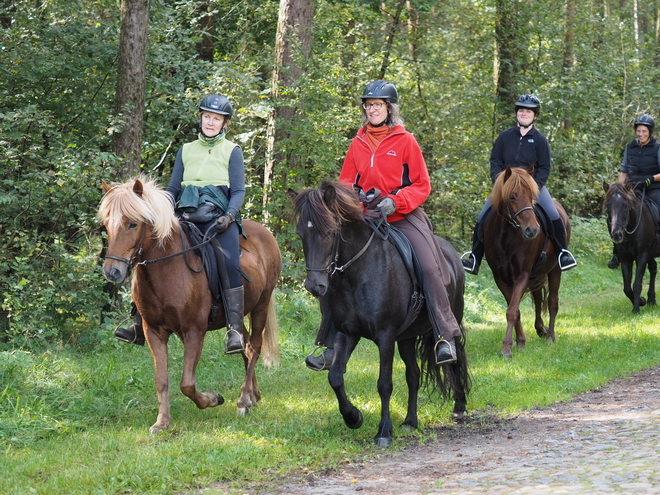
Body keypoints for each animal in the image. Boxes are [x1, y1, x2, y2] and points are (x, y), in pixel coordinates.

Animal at [98, 177, 282, 434]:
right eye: (106, 224)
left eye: (132, 224)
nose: (112, 272)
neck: (167, 269)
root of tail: (265, 233)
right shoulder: (153, 331)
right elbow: (161, 379)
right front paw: (162, 421)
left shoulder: (194, 331)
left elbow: (187, 383)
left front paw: (213, 399)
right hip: (236, 317)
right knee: (243, 345)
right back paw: (253, 395)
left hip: (261, 305)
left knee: (254, 346)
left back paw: (244, 400)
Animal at [288, 182, 470, 450]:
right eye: (301, 233)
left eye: (330, 232)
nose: (315, 286)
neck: (358, 273)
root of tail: (452, 254)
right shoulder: (346, 333)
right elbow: (335, 377)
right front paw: (353, 417)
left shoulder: (385, 336)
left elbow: (384, 384)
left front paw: (383, 431)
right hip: (406, 338)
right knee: (413, 375)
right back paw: (410, 421)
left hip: (452, 320)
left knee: (455, 360)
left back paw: (459, 407)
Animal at [482, 169, 568, 358]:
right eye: (512, 196)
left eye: (531, 195)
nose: (532, 230)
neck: (506, 235)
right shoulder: (501, 278)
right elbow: (516, 310)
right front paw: (520, 342)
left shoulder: (522, 275)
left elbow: (512, 311)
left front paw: (507, 348)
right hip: (537, 274)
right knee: (538, 299)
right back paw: (540, 329)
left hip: (555, 270)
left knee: (552, 301)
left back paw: (550, 336)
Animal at [604, 182, 660, 314]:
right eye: (608, 205)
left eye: (625, 205)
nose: (617, 234)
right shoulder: (625, 259)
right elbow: (627, 287)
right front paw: (641, 301)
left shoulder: (642, 256)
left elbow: (637, 284)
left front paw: (636, 309)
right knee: (653, 268)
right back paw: (651, 300)